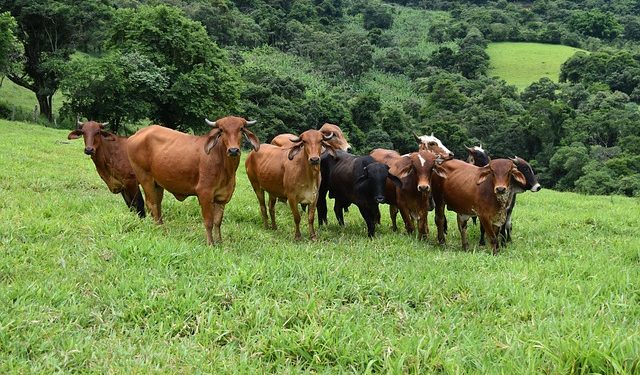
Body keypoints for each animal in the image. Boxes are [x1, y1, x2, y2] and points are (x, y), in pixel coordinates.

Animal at [127, 118, 260, 247]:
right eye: (221, 130)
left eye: (241, 129)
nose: (233, 150)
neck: (225, 167)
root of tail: (136, 134)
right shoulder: (205, 194)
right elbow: (209, 221)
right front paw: (210, 243)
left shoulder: (222, 197)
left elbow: (217, 222)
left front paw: (219, 242)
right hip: (145, 178)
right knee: (152, 204)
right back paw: (159, 229)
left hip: (158, 184)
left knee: (158, 204)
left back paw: (162, 227)